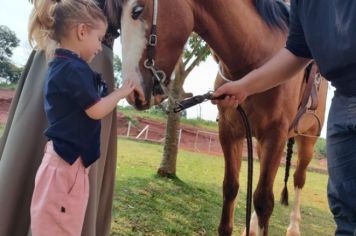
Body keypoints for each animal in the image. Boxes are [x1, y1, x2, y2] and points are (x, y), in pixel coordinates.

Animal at [106, 0, 328, 235]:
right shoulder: (230, 132)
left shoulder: (275, 135)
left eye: (137, 11)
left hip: (308, 139)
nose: (133, 93)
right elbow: (231, 188)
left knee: (298, 178)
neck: (256, 60)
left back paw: (293, 227)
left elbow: (263, 201)